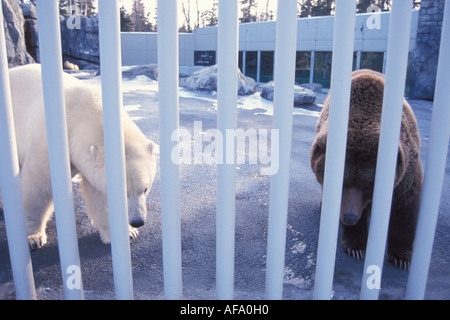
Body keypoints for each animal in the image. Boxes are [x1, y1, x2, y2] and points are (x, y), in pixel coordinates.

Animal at [3, 63, 157, 249]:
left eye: (145, 188)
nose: (137, 221)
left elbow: (97, 194)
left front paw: (126, 233)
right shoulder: (46, 145)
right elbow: (38, 187)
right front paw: (33, 237)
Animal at [312, 69, 424, 268]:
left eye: (368, 186)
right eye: (342, 184)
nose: (349, 217)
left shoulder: (405, 173)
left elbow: (405, 208)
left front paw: (401, 256)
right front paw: (356, 246)